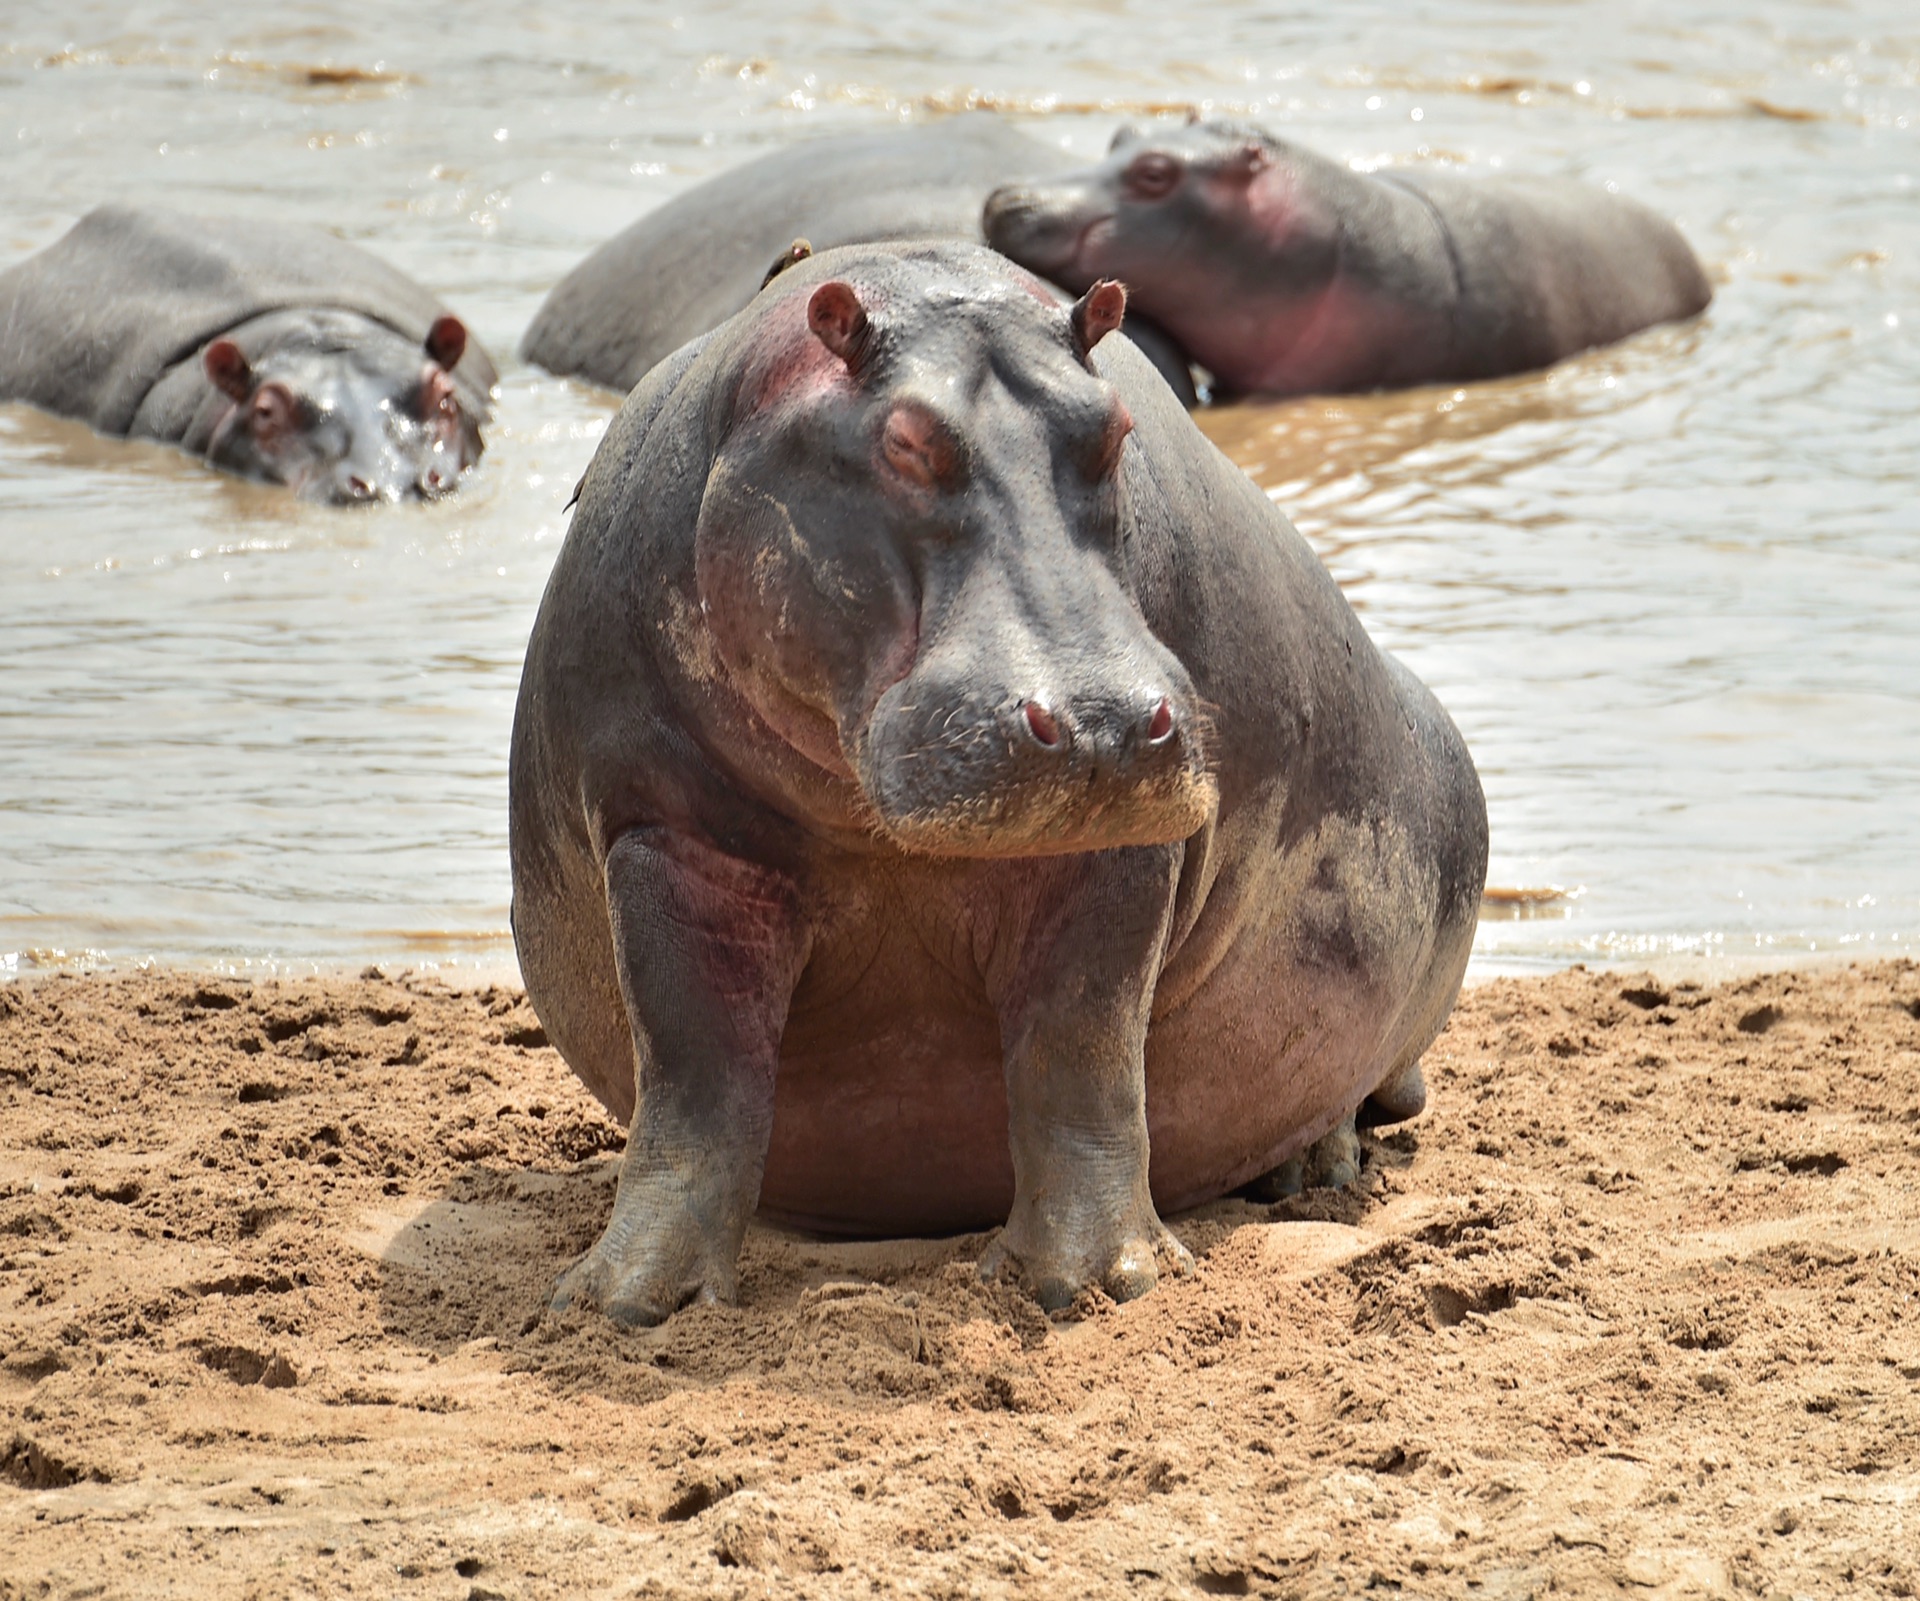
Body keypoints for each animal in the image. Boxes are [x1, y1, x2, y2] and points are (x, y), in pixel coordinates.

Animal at [506, 234, 1482, 1320]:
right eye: (903, 442)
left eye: (1113, 429)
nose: (1103, 720)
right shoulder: (668, 835)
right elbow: (695, 1071)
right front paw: (625, 1302)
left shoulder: (1119, 855)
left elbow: (1079, 1049)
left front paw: (1103, 1282)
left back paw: (1312, 1166)